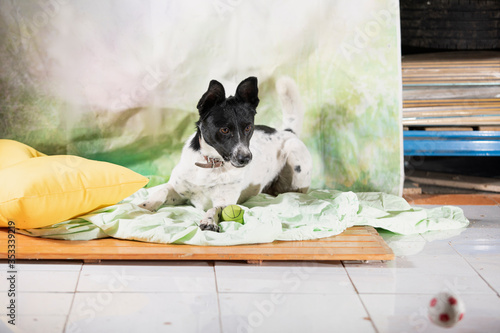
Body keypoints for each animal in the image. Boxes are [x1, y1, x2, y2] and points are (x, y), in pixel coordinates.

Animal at [141, 76, 310, 231]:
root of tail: (287, 132)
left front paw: (209, 220)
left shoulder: (224, 201)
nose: (246, 158)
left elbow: (214, 208)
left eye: (248, 127)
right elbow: (162, 190)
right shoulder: (178, 191)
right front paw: (145, 205)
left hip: (295, 160)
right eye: (224, 130)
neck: (211, 163)